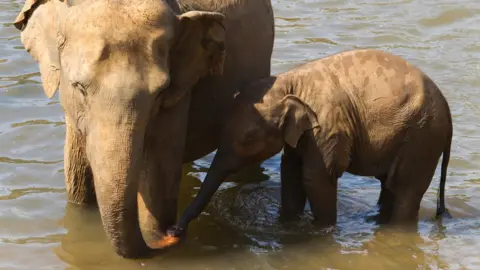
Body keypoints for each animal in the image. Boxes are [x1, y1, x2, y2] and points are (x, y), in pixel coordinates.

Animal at [13, 0, 272, 258]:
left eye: (160, 92)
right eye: (79, 88)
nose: (173, 233)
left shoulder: (179, 94)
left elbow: (158, 174)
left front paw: (154, 233)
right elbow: (77, 178)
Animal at [164, 48, 450, 240]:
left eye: (247, 139)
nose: (174, 231)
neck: (289, 83)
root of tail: (448, 113)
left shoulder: (327, 127)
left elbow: (314, 177)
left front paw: (320, 231)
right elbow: (290, 171)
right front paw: (288, 224)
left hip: (422, 137)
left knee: (405, 190)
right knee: (390, 186)